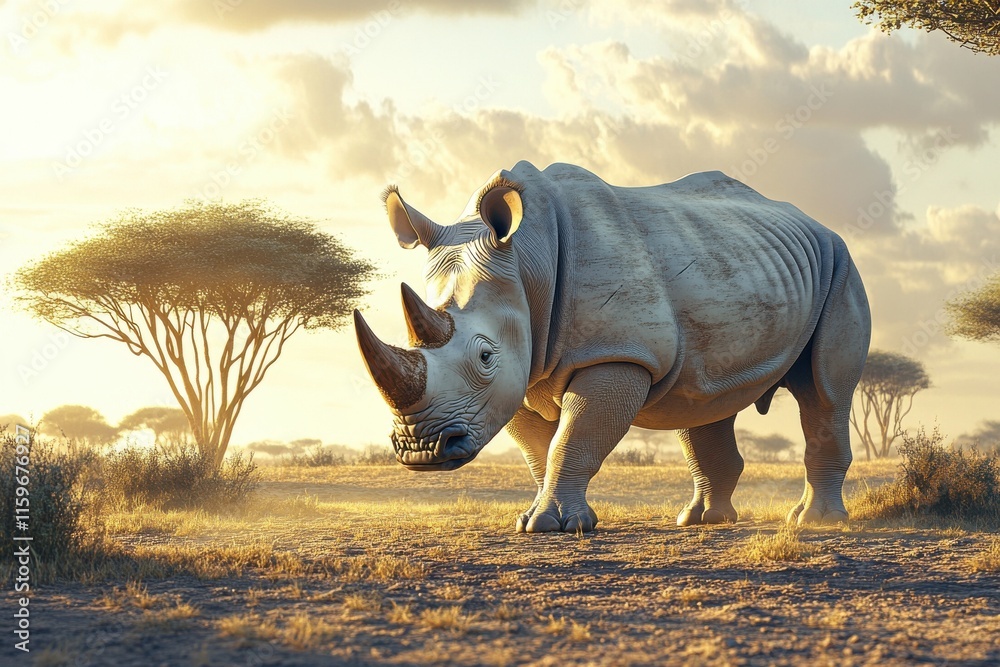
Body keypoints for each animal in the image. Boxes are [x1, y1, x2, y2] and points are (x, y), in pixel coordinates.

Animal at [353, 161, 871, 533]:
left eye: (484, 355)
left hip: (841, 265)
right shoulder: (521, 372)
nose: (422, 450)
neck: (527, 262)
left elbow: (573, 437)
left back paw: (816, 523)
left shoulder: (616, 352)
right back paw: (702, 520)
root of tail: (817, 224)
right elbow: (539, 450)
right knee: (703, 400)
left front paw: (553, 526)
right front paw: (533, 518)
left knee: (824, 392)